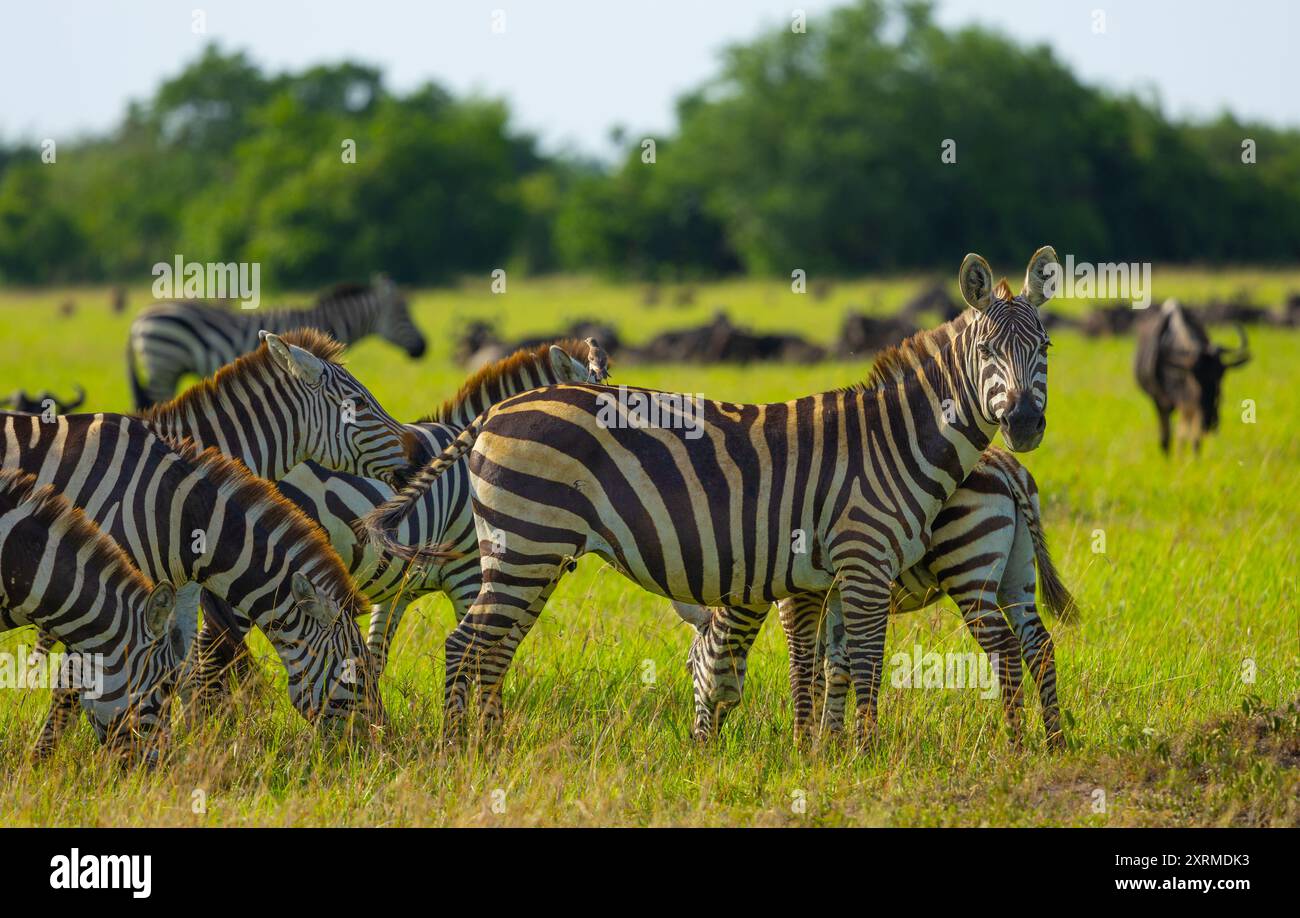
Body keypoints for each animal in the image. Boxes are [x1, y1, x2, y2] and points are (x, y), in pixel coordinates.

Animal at [671, 447, 1077, 747]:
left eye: (689, 667)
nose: (697, 741)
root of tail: (1004, 466)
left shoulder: (798, 598)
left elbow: (811, 668)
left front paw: (813, 742)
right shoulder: (834, 594)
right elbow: (835, 666)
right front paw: (830, 742)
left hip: (968, 566)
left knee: (1005, 648)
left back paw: (1015, 744)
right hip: (1016, 575)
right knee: (1038, 644)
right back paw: (1054, 740)